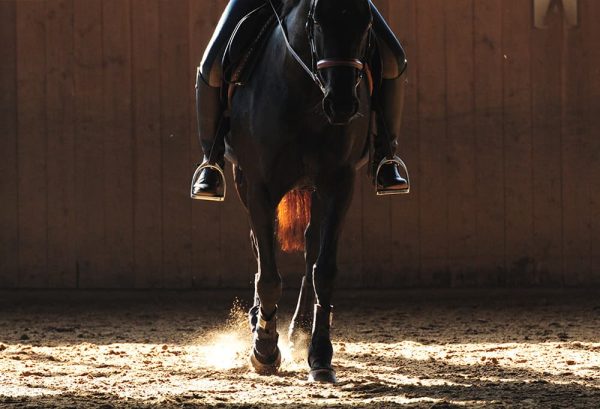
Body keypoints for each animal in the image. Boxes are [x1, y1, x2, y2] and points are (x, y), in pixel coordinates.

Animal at [226, 0, 376, 380]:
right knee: (259, 245)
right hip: (242, 180)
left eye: (367, 24)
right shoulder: (259, 186)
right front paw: (264, 349)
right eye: (317, 23)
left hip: (316, 190)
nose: (342, 104)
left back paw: (301, 327)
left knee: (310, 246)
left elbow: (324, 269)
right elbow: (268, 273)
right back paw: (259, 322)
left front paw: (320, 355)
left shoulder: (339, 184)